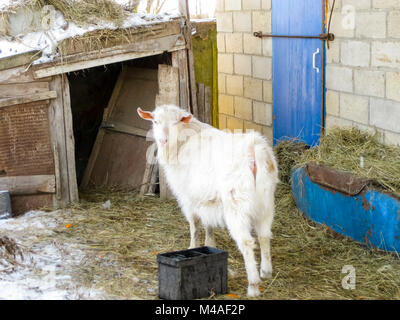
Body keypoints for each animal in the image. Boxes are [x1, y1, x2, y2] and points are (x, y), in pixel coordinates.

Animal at [138, 105, 278, 298]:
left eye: (175, 122)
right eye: (155, 121)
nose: (163, 140)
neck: (184, 141)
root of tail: (253, 149)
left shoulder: (188, 198)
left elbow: (194, 225)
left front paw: (192, 246)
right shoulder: (207, 199)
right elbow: (208, 223)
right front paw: (210, 244)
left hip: (236, 204)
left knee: (247, 242)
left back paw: (253, 286)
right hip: (266, 201)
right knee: (264, 236)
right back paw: (266, 271)